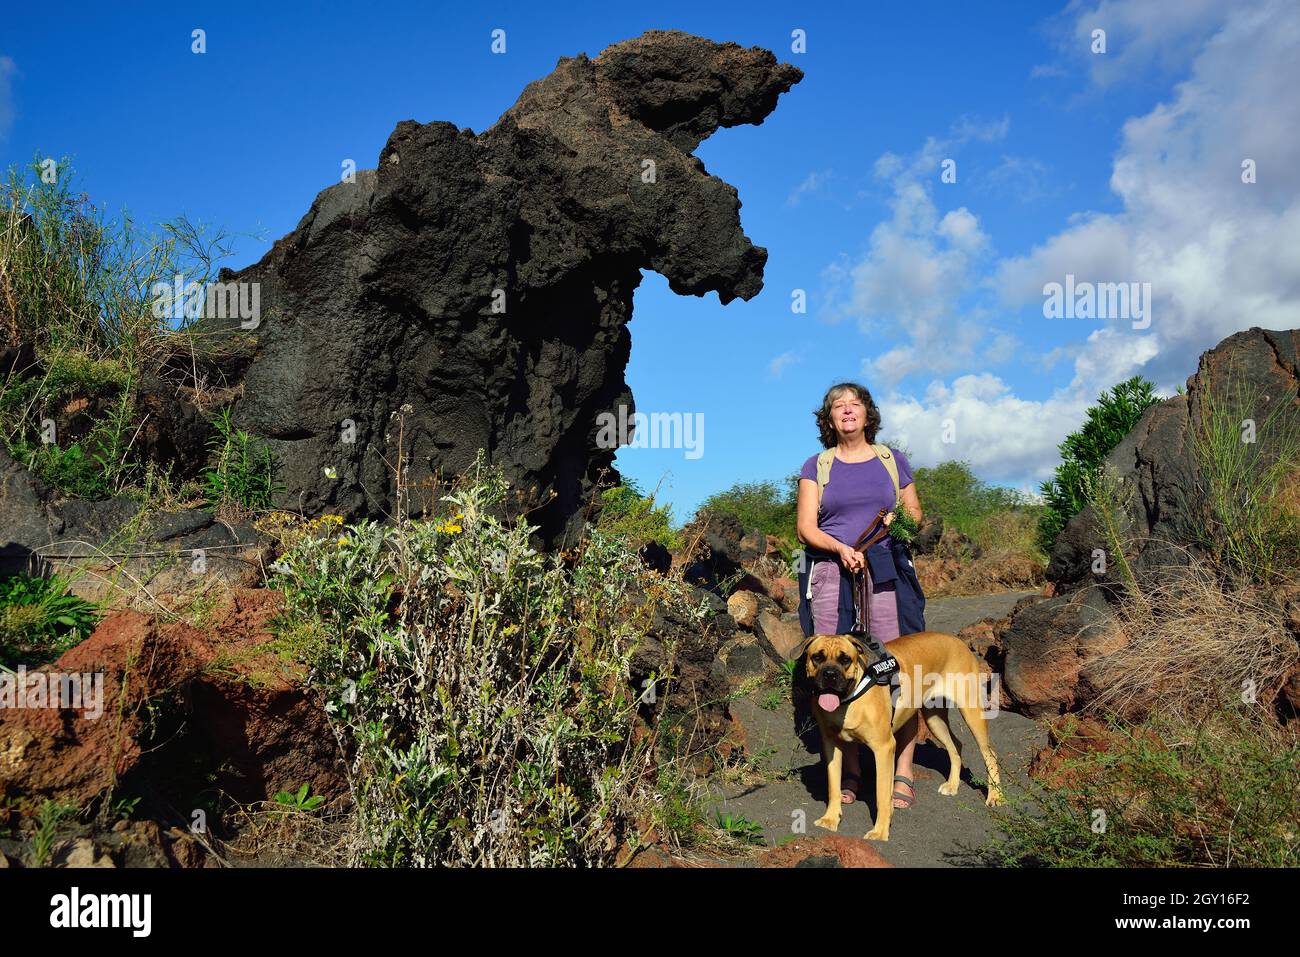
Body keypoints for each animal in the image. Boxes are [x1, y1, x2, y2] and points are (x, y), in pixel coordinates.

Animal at [800, 631, 1003, 842]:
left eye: (845, 659)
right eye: (817, 657)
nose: (830, 674)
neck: (847, 700)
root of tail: (957, 641)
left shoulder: (884, 748)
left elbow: (882, 795)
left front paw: (880, 831)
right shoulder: (831, 744)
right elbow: (833, 786)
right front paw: (830, 819)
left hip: (971, 713)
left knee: (990, 753)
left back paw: (995, 796)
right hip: (933, 718)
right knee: (956, 745)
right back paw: (953, 785)